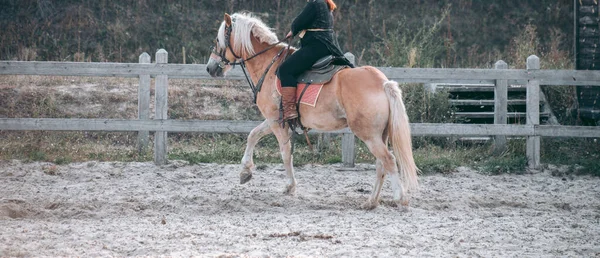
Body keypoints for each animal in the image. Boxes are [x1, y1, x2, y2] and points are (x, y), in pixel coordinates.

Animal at [206, 12, 418, 210]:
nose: (210, 68)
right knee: (381, 165)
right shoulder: (275, 119)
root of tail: (382, 82)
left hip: (369, 135)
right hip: (379, 135)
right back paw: (371, 201)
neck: (268, 65)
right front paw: (245, 171)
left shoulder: (275, 121)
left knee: (388, 160)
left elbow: (285, 152)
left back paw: (400, 198)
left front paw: (290, 186)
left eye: (218, 39)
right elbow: (253, 135)